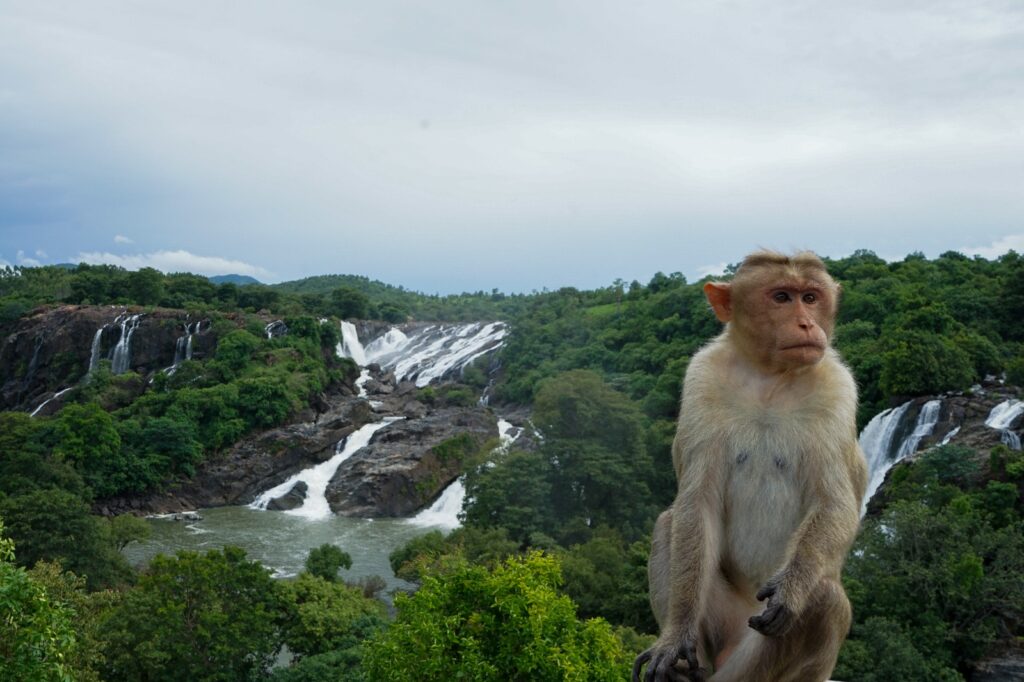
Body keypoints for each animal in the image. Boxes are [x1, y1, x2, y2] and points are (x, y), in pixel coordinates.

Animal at [634, 249, 868, 679]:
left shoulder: (838, 391)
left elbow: (835, 504)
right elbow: (697, 503)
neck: (770, 380)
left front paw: (791, 589)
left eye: (811, 297)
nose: (807, 323)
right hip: (724, 622)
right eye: (781, 297)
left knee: (825, 601)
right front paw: (673, 639)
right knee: (669, 522)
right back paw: (683, 667)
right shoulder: (701, 379)